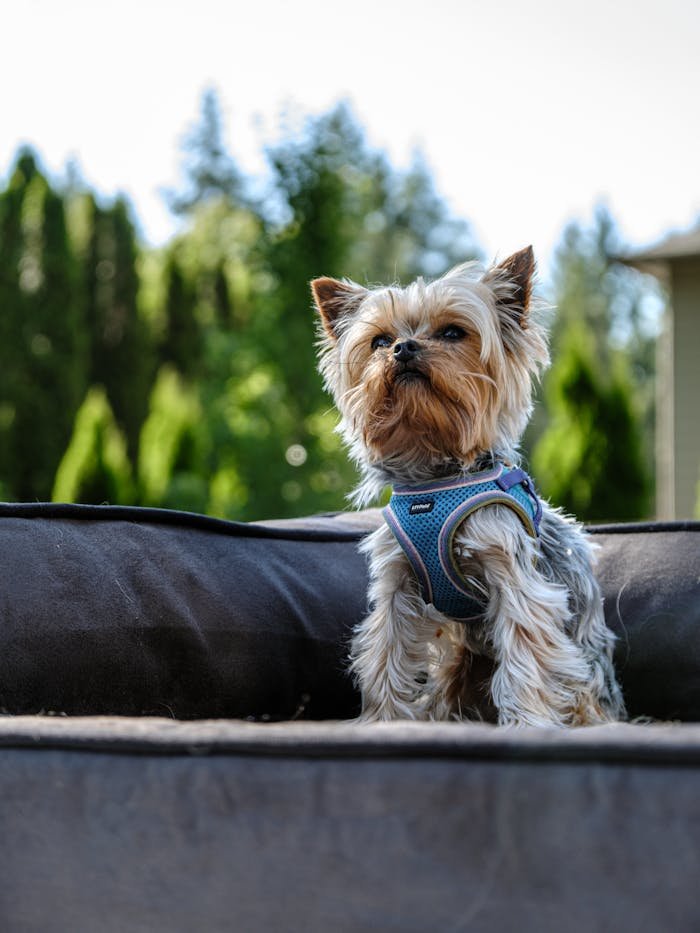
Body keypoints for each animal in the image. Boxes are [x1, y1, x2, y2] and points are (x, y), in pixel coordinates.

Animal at [312, 249, 624, 728]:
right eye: (380, 341)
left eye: (453, 332)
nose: (404, 348)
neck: (436, 479)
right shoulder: (397, 581)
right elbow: (386, 652)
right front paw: (383, 721)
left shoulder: (511, 570)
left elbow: (526, 649)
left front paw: (528, 724)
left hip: (586, 684)